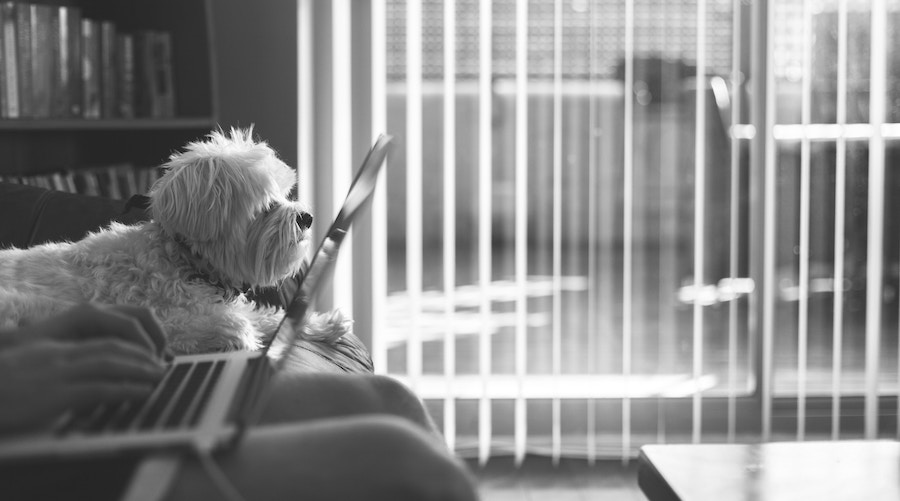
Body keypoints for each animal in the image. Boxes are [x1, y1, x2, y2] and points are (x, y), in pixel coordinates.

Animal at [0, 130, 350, 356]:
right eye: (265, 204)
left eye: (284, 192)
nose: (307, 217)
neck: (184, 261)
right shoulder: (163, 317)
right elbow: (227, 325)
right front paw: (240, 337)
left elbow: (268, 316)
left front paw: (323, 324)